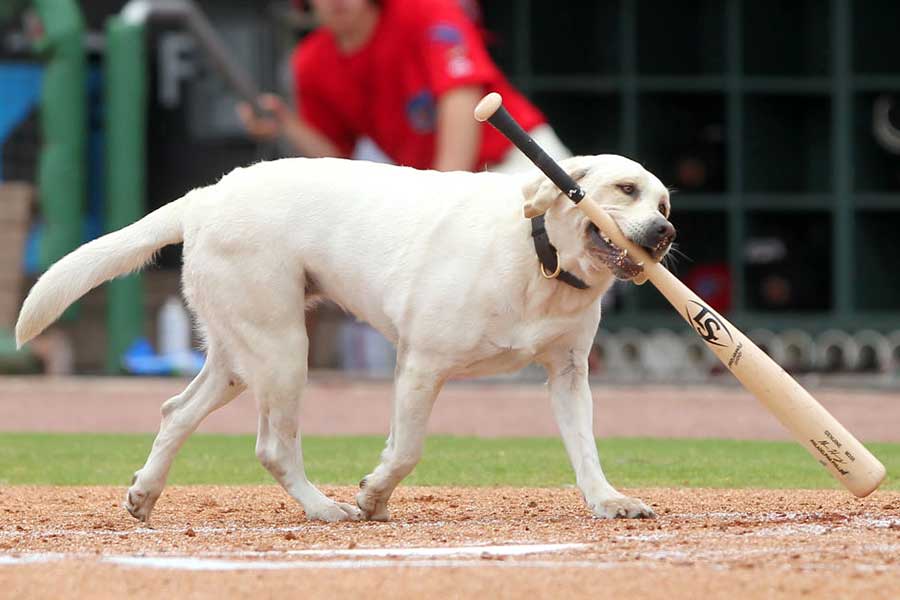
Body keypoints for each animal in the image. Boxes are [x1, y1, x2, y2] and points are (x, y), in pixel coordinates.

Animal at [14, 154, 676, 520]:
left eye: (665, 203)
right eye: (624, 190)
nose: (665, 233)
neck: (540, 258)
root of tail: (207, 195)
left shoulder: (568, 375)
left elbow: (585, 449)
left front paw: (608, 501)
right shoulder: (420, 365)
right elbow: (406, 451)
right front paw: (371, 497)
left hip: (241, 356)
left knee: (176, 411)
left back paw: (144, 495)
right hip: (283, 352)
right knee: (273, 447)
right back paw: (322, 509)